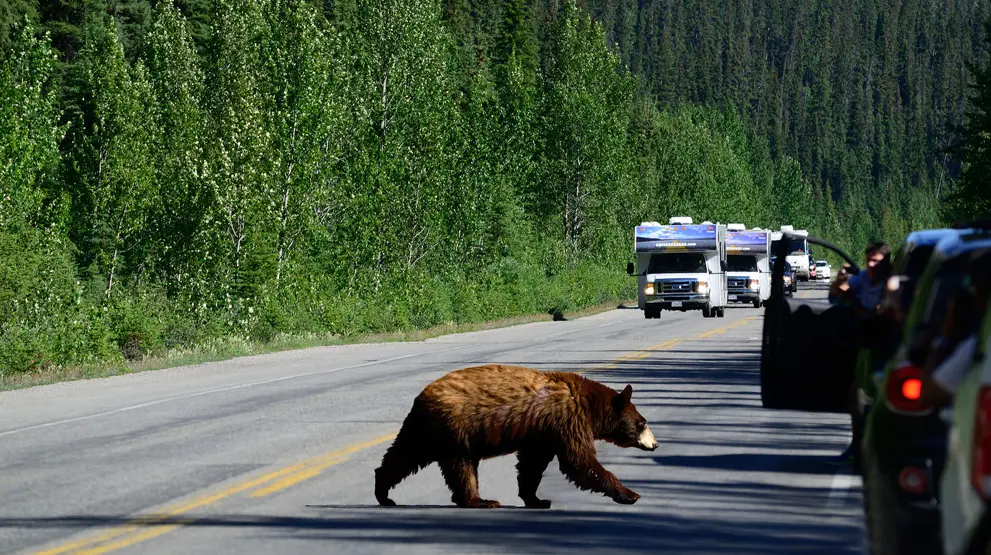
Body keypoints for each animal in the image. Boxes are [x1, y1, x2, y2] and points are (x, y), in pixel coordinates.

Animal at [372, 362, 660, 510]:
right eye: (642, 423)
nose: (655, 444)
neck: (589, 405)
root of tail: (421, 397)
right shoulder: (567, 420)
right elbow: (579, 461)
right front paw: (630, 493)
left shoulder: (542, 432)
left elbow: (532, 465)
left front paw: (536, 499)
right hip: (454, 427)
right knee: (459, 466)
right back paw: (480, 500)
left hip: (426, 430)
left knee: (403, 455)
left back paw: (384, 493)